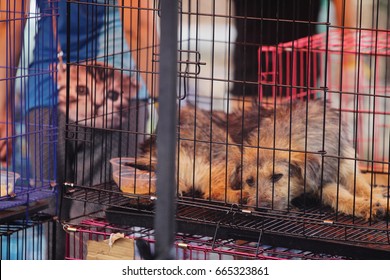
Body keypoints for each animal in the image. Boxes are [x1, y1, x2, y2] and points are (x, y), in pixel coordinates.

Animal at [239, 100, 388, 221]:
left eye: (277, 176)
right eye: (249, 181)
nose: (260, 207)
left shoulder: (344, 163)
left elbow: (361, 185)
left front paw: (379, 198)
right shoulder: (318, 183)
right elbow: (338, 195)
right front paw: (366, 205)